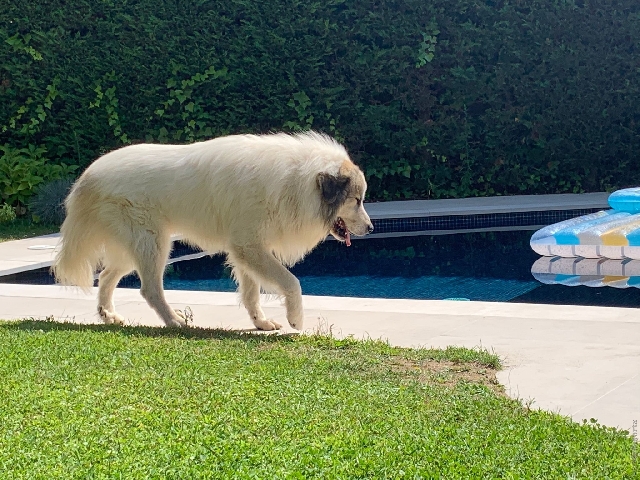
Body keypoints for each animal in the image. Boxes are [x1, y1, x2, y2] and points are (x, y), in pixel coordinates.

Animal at [56, 133, 376, 332]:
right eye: (357, 200)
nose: (371, 228)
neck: (296, 182)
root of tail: (89, 177)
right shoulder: (250, 247)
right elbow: (291, 282)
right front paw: (295, 319)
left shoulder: (247, 250)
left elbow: (251, 293)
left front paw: (260, 323)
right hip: (153, 243)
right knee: (149, 289)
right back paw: (174, 322)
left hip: (134, 247)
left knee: (107, 276)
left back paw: (108, 315)